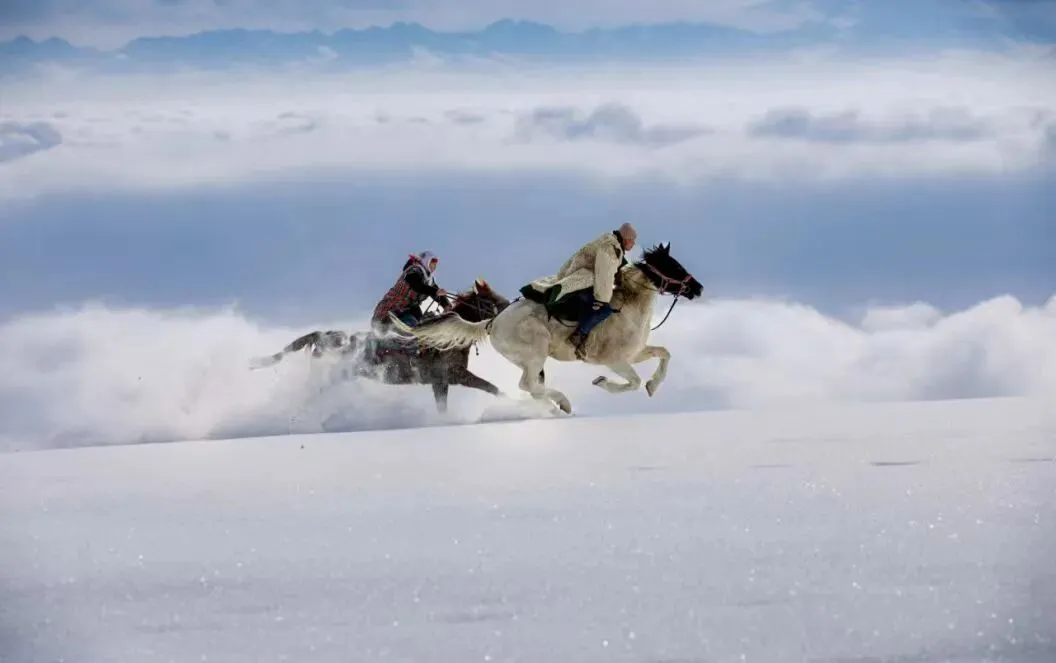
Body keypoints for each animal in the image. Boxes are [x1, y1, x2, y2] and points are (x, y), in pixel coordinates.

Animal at [248, 278, 512, 413]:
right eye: (488, 300)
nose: (509, 306)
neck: (445, 339)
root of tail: (325, 335)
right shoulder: (452, 375)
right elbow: (492, 387)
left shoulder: (441, 382)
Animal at [387, 242, 704, 415]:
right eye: (673, 266)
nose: (697, 288)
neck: (628, 305)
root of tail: (491, 322)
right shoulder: (615, 360)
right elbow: (633, 382)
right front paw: (602, 382)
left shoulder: (635, 353)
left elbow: (664, 354)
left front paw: (653, 385)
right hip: (535, 355)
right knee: (527, 385)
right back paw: (562, 404)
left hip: (529, 360)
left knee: (531, 387)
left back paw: (554, 407)